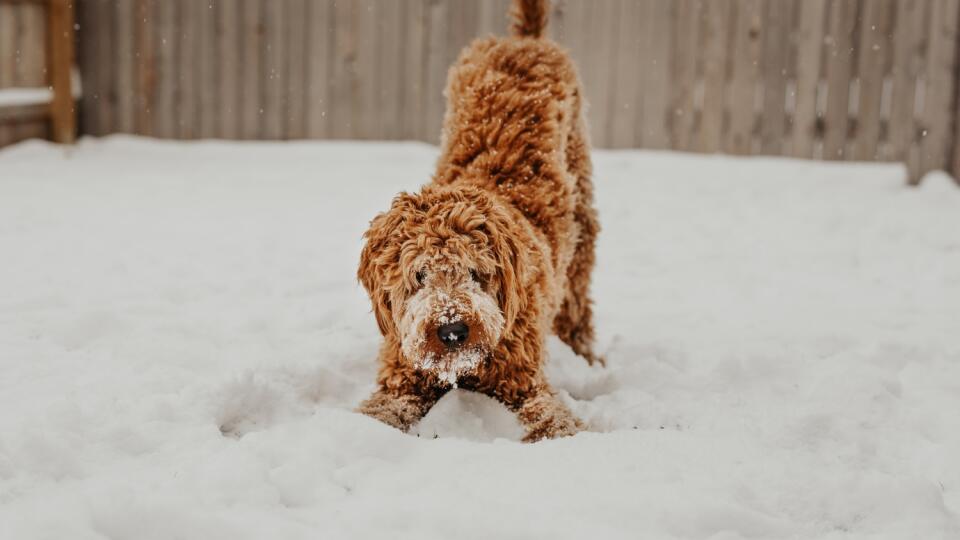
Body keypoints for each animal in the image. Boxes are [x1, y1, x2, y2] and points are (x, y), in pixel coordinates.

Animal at [360, 0, 600, 440]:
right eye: (419, 275)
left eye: (476, 271)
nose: (452, 330)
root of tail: (523, 40)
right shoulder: (402, 377)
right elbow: (379, 411)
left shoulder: (525, 381)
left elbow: (552, 417)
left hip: (582, 213)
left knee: (577, 298)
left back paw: (585, 354)